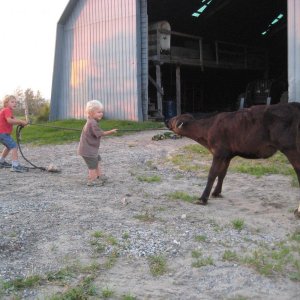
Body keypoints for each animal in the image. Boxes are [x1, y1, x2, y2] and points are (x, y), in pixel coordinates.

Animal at [165, 103, 300, 216]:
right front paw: (216, 193)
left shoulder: (218, 152)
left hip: (291, 149)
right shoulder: (227, 155)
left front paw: (203, 199)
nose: (166, 120)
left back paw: (298, 211)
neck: (208, 128)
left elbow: (212, 174)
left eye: (175, 119)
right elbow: (222, 174)